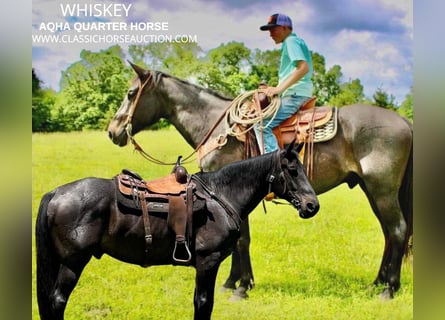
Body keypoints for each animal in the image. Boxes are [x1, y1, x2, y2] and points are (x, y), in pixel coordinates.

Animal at [35, 143, 320, 320]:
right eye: (292, 170)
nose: (312, 206)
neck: (221, 196)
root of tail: (56, 193)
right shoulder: (208, 262)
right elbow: (204, 304)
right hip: (72, 263)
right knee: (57, 300)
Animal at [107, 63, 412, 300]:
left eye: (131, 93)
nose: (112, 131)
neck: (219, 128)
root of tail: (404, 121)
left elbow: (241, 240)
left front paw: (241, 288)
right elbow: (239, 238)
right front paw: (233, 283)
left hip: (382, 190)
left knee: (397, 230)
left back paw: (390, 289)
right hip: (371, 189)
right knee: (388, 232)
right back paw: (377, 283)